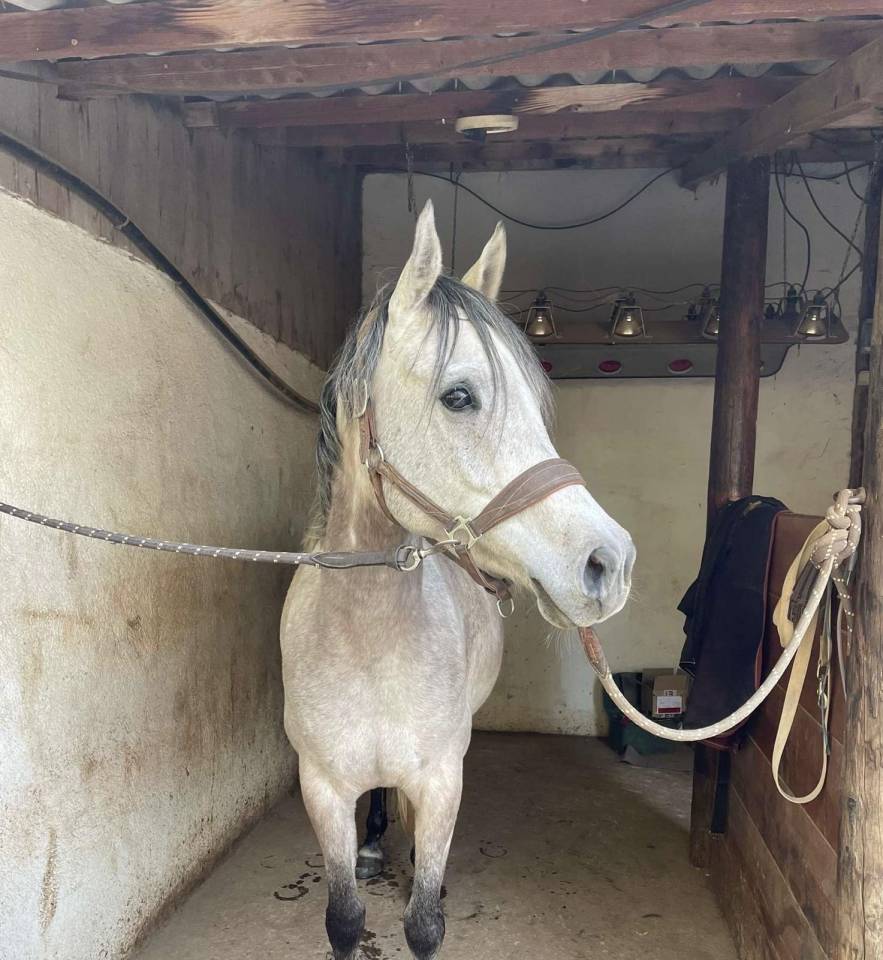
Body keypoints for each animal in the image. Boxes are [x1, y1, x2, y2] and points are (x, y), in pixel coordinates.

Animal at [280, 200, 635, 960]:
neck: (367, 640)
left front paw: (428, 883)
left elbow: (423, 924)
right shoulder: (323, 789)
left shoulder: (443, 779)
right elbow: (344, 919)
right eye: (460, 396)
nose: (609, 563)